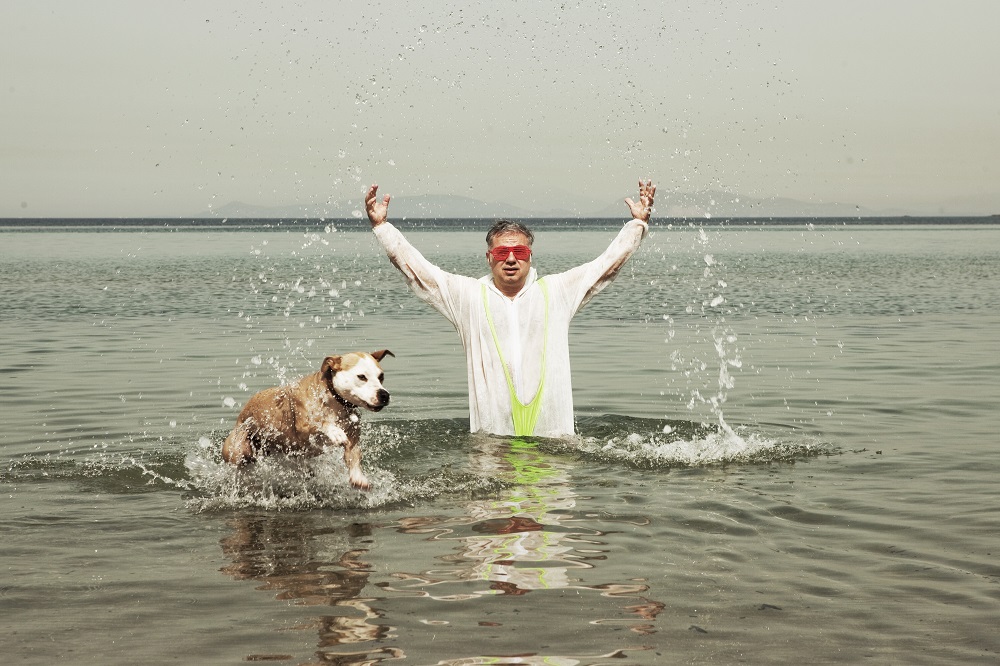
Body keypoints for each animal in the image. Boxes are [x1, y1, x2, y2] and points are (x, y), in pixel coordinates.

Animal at [221, 348, 392, 488]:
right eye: (361, 376)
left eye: (381, 376)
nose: (384, 395)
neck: (333, 398)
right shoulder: (302, 428)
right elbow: (321, 422)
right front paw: (335, 432)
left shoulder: (353, 436)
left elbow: (355, 456)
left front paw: (358, 477)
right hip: (239, 448)